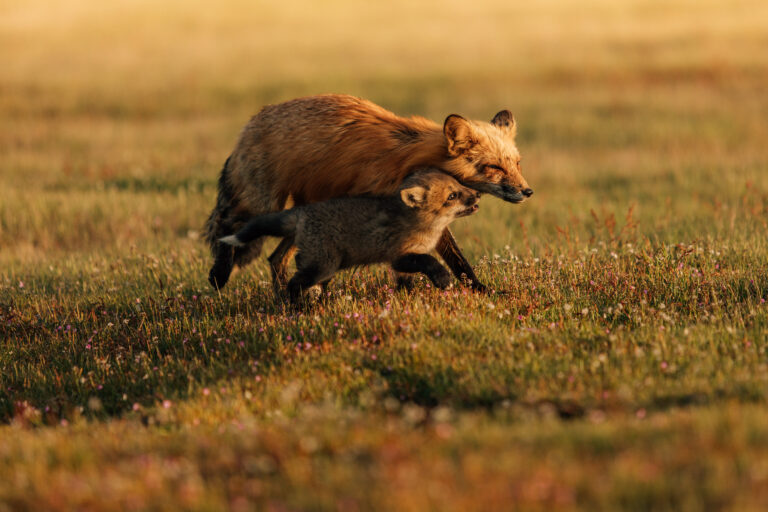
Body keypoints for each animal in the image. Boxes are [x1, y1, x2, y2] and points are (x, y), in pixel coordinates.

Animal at [219, 169, 480, 303]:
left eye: (459, 185)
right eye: (452, 196)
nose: (477, 195)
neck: (424, 227)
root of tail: (302, 212)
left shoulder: (403, 264)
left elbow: (405, 284)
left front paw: (405, 300)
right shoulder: (400, 255)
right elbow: (429, 261)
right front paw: (443, 279)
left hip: (322, 265)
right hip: (324, 265)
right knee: (294, 283)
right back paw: (296, 308)